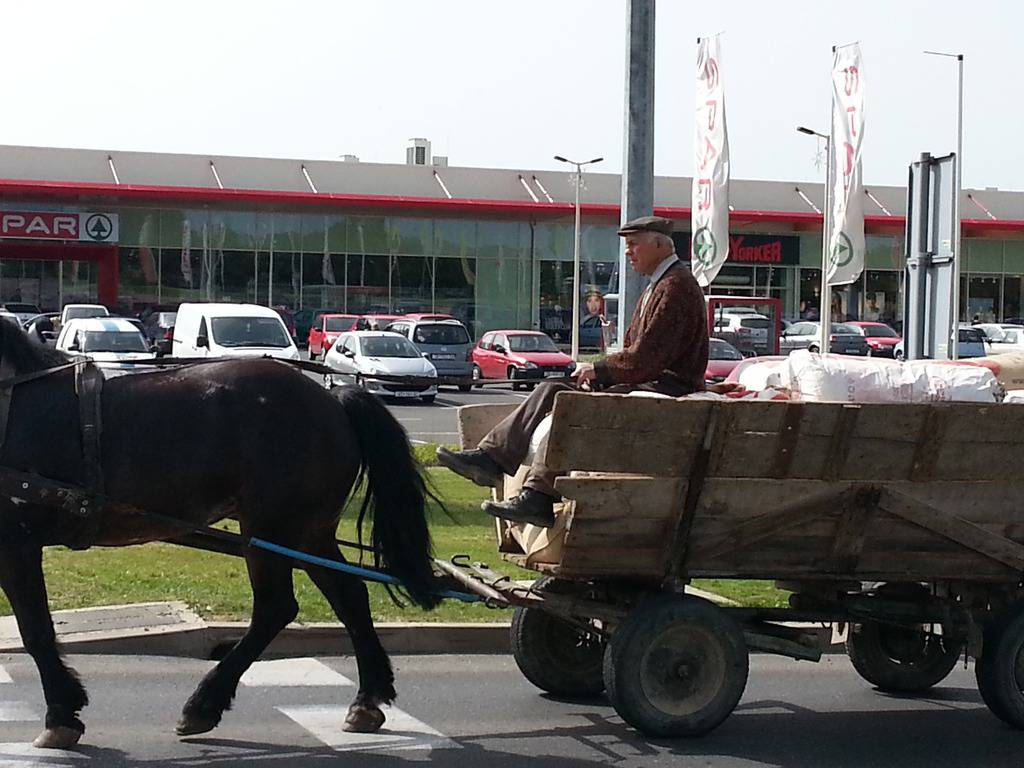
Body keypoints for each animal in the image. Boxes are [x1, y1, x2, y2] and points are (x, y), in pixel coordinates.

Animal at [0, 319, 440, 753]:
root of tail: (332, 400)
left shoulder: (17, 543)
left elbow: (36, 630)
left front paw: (60, 716)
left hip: (269, 529)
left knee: (276, 608)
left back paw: (203, 704)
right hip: (307, 533)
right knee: (348, 597)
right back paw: (367, 699)